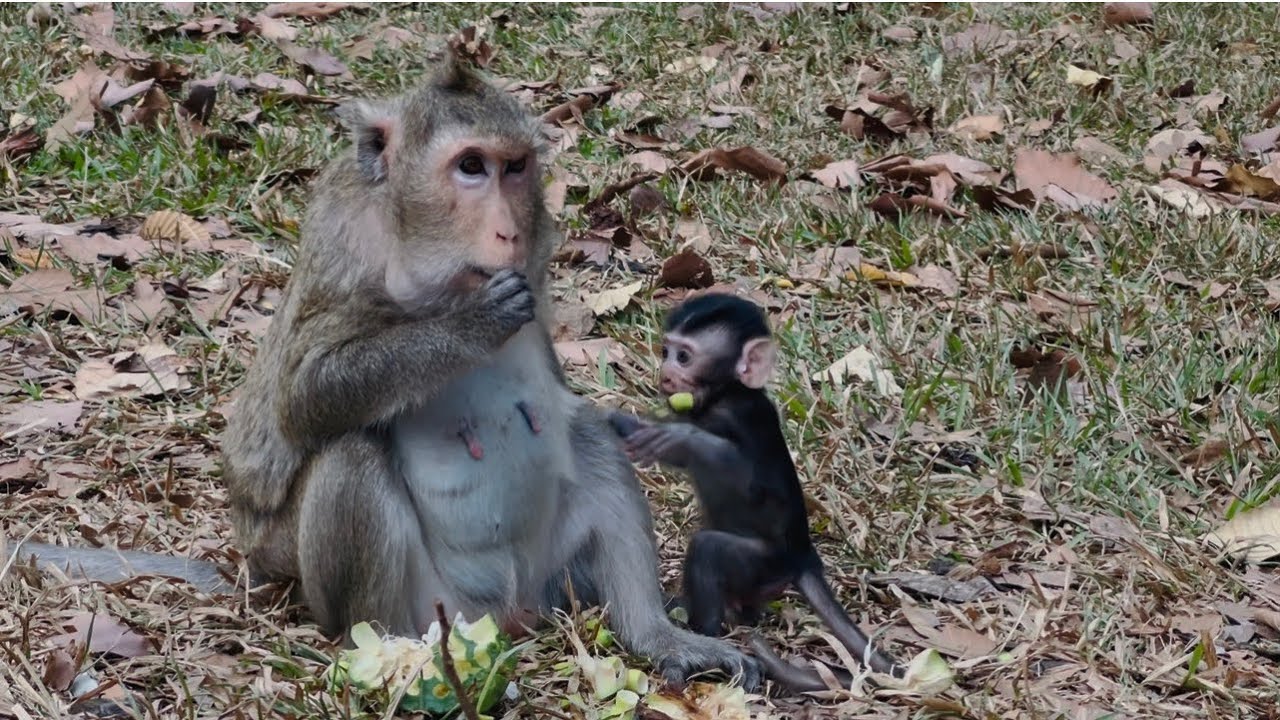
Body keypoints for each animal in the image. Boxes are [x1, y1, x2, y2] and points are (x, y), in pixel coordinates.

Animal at [8, 57, 760, 692]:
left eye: (514, 168)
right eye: (470, 167)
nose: (508, 230)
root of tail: (503, 611)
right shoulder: (347, 237)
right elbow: (307, 398)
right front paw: (468, 327)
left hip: (545, 574)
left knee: (592, 439)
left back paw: (657, 637)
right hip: (406, 598)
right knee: (352, 458)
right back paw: (397, 655)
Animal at [607, 293, 904, 691]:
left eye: (684, 356)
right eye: (665, 351)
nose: (666, 373)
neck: (724, 395)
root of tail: (803, 556)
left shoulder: (739, 417)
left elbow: (748, 482)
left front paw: (681, 438)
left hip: (767, 564)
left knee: (709, 548)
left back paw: (703, 629)